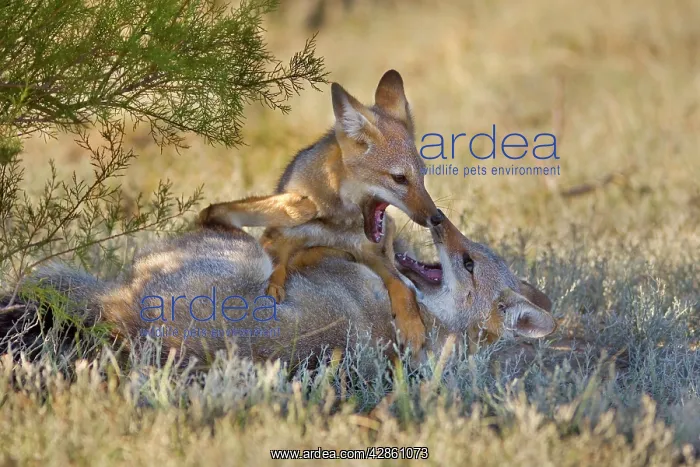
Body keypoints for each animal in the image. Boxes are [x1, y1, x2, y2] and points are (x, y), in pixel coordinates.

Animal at [198, 70, 445, 352]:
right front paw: (274, 285)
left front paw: (411, 326)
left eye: (422, 175)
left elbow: (401, 286)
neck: (334, 225)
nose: (437, 218)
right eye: (400, 178)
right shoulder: (282, 235)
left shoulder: (371, 252)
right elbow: (279, 260)